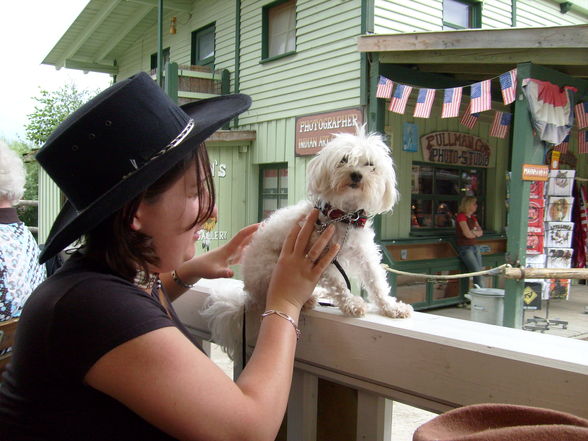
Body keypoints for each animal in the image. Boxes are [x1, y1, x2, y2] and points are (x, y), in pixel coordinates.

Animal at [204, 125, 412, 356]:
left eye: (370, 165)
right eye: (344, 159)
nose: (356, 175)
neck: (343, 217)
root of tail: (249, 294)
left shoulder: (364, 254)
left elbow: (376, 281)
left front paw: (391, 307)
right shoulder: (321, 257)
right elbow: (340, 285)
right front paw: (352, 304)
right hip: (270, 269)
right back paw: (308, 299)